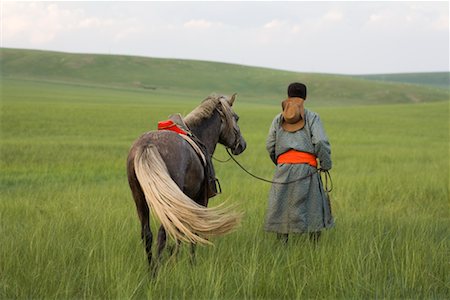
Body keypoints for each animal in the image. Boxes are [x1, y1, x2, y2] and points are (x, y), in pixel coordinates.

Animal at [125, 93, 246, 270]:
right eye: (236, 117)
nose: (242, 145)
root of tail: (148, 146)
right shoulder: (200, 200)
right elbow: (193, 231)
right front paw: (191, 263)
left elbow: (180, 231)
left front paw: (174, 259)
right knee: (162, 234)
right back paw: (158, 270)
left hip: (139, 196)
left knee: (147, 234)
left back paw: (151, 269)